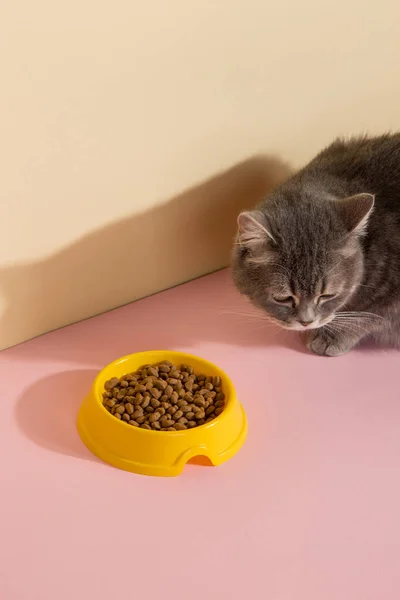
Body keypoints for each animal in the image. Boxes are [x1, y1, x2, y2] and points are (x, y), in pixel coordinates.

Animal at [231, 136, 400, 356]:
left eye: (328, 295)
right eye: (282, 298)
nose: (306, 322)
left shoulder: (390, 301)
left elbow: (366, 316)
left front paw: (331, 336)